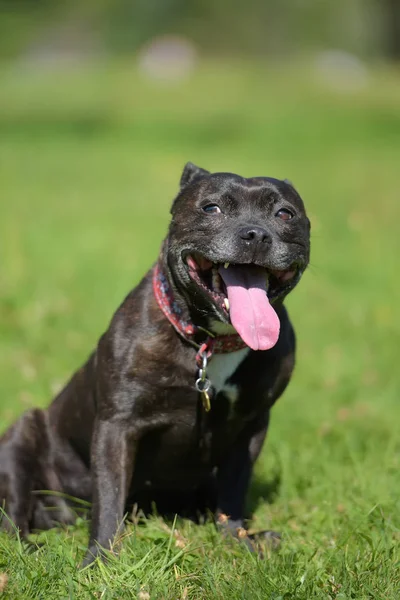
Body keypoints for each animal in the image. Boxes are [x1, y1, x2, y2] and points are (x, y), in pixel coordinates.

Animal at [0, 163, 310, 564]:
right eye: (211, 208)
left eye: (285, 214)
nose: (255, 233)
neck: (210, 343)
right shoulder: (117, 425)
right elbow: (110, 497)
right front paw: (101, 560)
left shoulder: (250, 425)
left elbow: (233, 489)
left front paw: (237, 539)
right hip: (21, 436)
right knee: (13, 513)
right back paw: (29, 548)